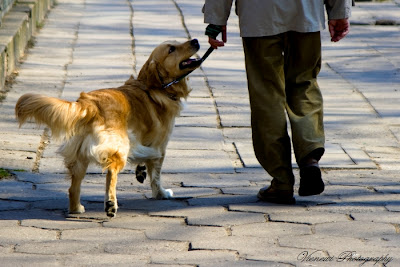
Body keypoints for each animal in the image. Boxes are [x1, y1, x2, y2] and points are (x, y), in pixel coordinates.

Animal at [14, 40, 200, 220]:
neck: (155, 86)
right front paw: (161, 193)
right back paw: (110, 204)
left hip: (79, 156)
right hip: (119, 148)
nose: (196, 40)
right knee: (111, 172)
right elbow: (156, 176)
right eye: (171, 49)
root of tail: (89, 104)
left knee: (73, 188)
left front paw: (140, 170)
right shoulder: (160, 147)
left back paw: (76, 209)